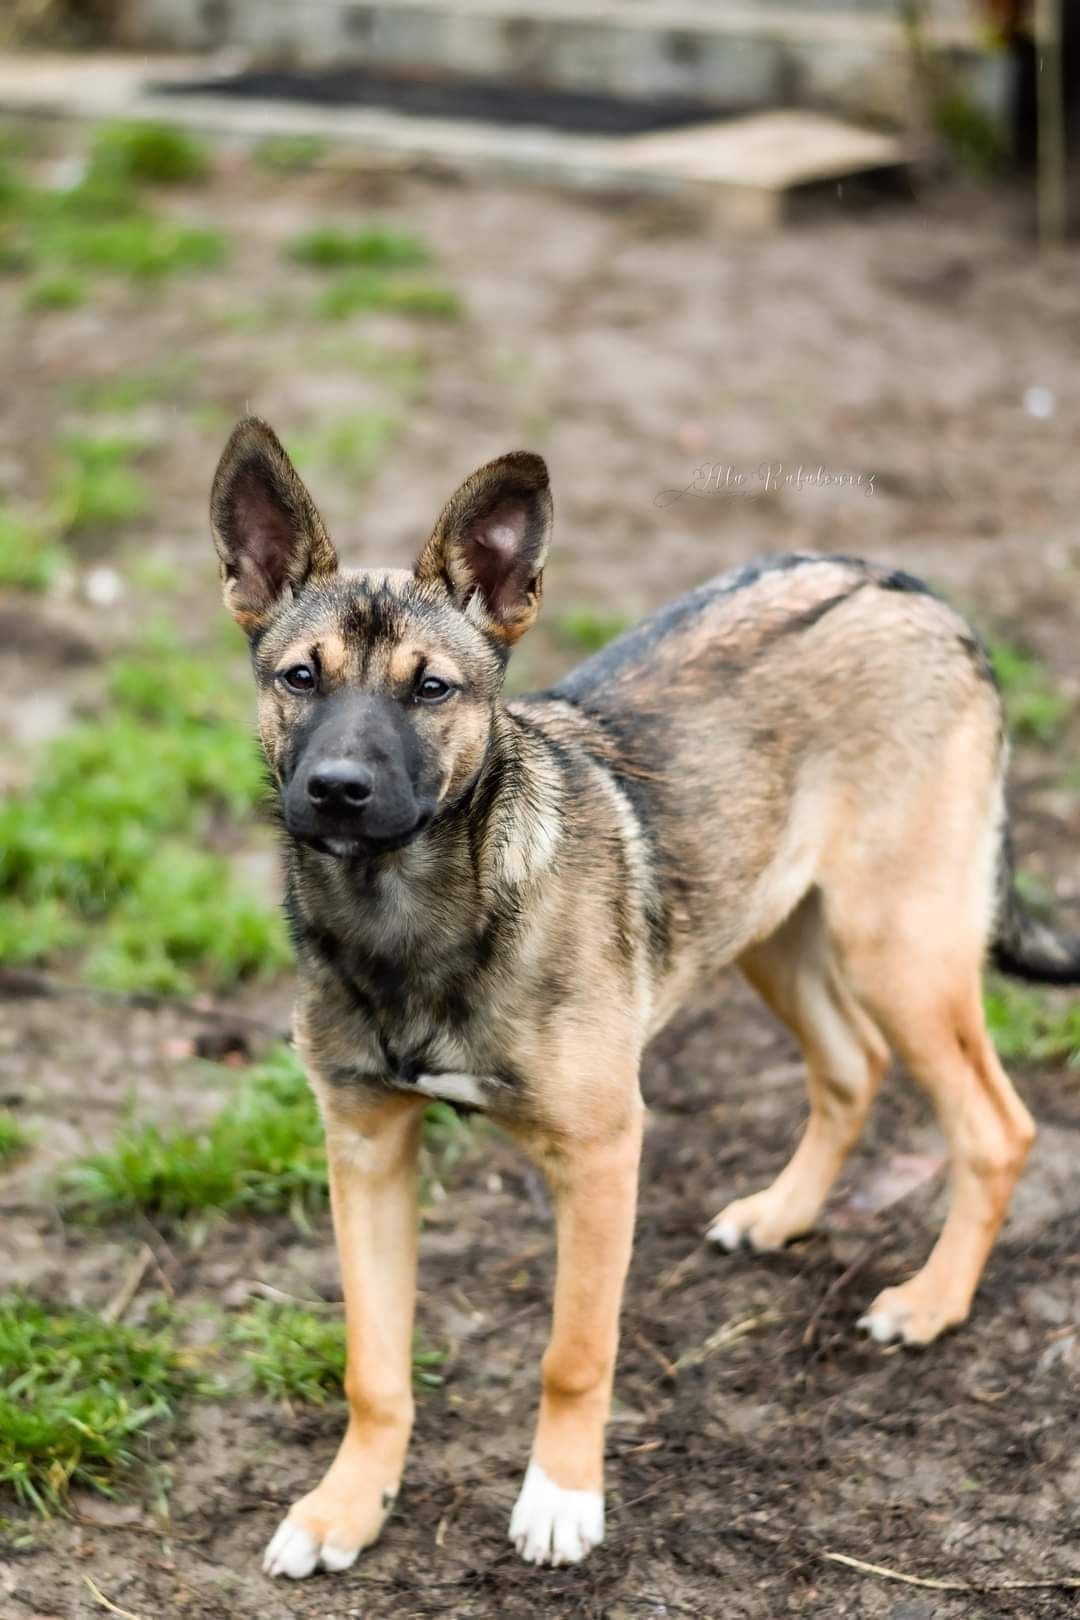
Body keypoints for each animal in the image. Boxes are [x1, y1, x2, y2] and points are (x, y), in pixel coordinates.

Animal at [210, 421, 1080, 1581]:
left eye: (431, 690)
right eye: (300, 678)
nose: (339, 791)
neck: (413, 917)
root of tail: (909, 586)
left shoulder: (602, 1152)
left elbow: (574, 1353)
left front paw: (561, 1501)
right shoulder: (364, 1143)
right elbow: (373, 1365)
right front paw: (346, 1506)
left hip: (897, 942)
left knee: (995, 1126)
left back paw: (932, 1304)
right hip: (769, 924)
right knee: (852, 1067)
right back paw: (782, 1215)